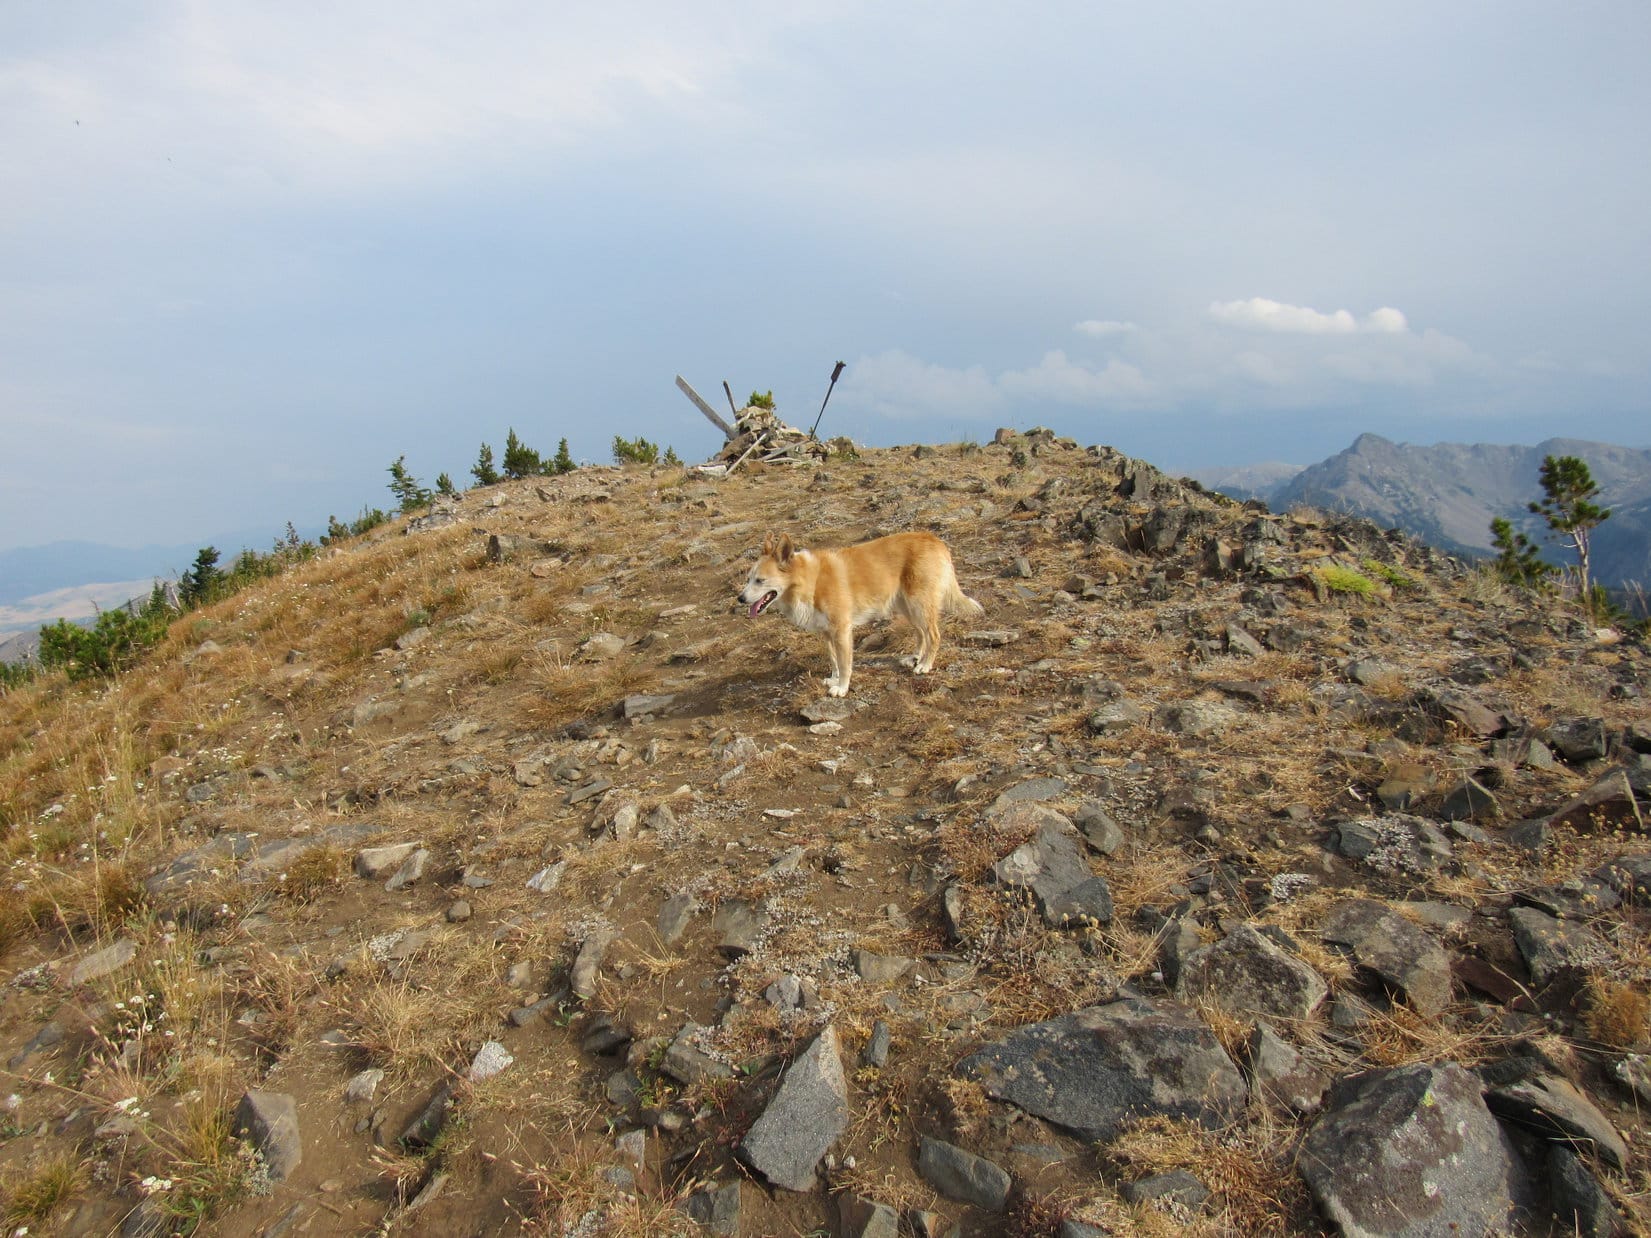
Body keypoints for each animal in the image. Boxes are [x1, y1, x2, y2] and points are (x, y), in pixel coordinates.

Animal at [739, 531, 983, 697]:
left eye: (760, 580)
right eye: (748, 578)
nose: (740, 599)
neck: (811, 581)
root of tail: (934, 539)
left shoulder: (841, 631)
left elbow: (845, 664)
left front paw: (842, 688)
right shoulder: (827, 634)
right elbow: (834, 661)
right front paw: (834, 679)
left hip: (919, 604)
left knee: (934, 635)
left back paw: (925, 665)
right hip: (907, 607)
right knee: (921, 633)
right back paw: (914, 658)